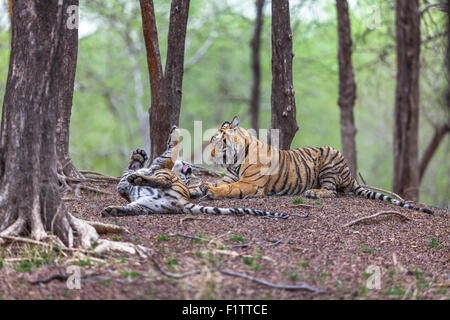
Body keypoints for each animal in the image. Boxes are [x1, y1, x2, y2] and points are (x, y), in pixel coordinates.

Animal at [99, 126, 288, 219]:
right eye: (189, 178)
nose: (189, 170)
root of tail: (181, 202)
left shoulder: (162, 164)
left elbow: (170, 150)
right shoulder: (124, 187)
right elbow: (126, 174)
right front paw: (138, 157)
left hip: (163, 181)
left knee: (161, 181)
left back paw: (137, 179)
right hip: (144, 206)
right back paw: (112, 210)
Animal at [195, 115, 434, 215]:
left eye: (217, 140)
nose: (211, 154)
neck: (234, 161)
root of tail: (350, 174)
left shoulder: (249, 184)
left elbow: (228, 188)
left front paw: (211, 191)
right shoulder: (230, 176)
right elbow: (211, 184)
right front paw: (199, 187)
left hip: (329, 157)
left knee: (332, 191)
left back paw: (314, 193)